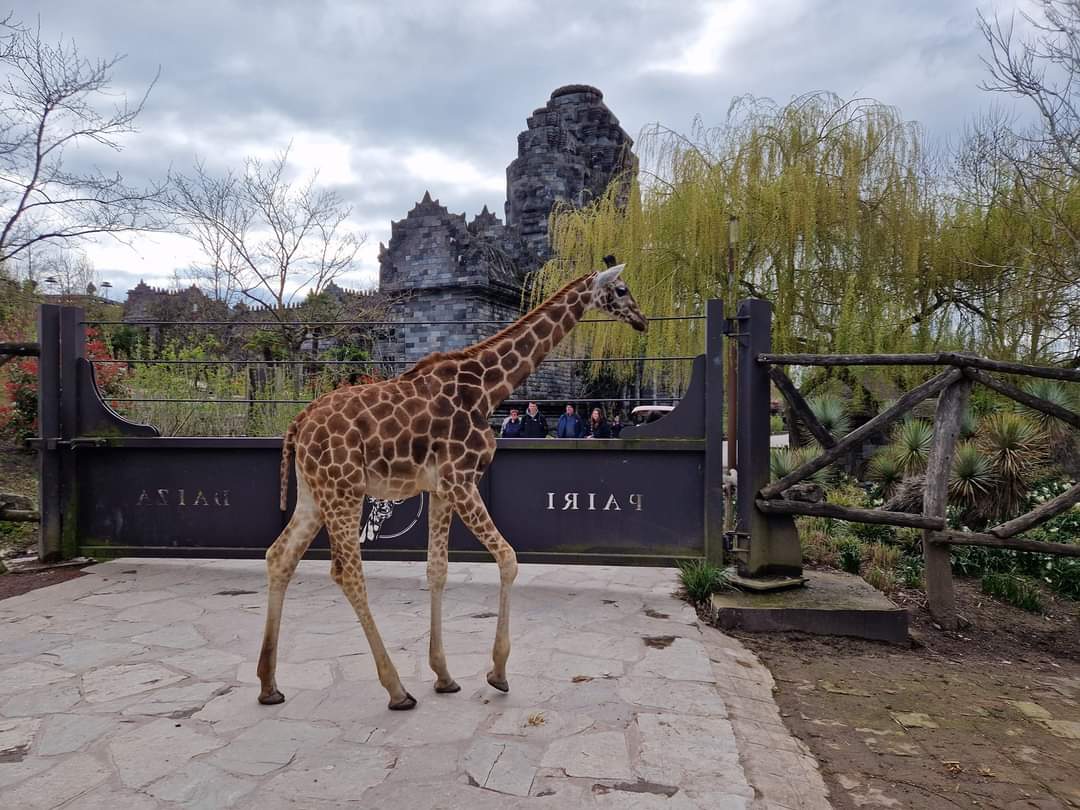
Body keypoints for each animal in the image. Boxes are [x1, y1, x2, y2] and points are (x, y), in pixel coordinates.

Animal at [257, 262, 647, 710]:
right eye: (621, 289)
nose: (642, 320)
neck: (487, 388)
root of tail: (298, 424)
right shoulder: (462, 480)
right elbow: (509, 558)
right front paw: (498, 673)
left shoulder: (442, 490)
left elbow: (438, 569)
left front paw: (444, 675)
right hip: (345, 490)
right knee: (347, 573)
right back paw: (396, 690)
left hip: (313, 492)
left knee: (279, 556)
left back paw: (268, 684)